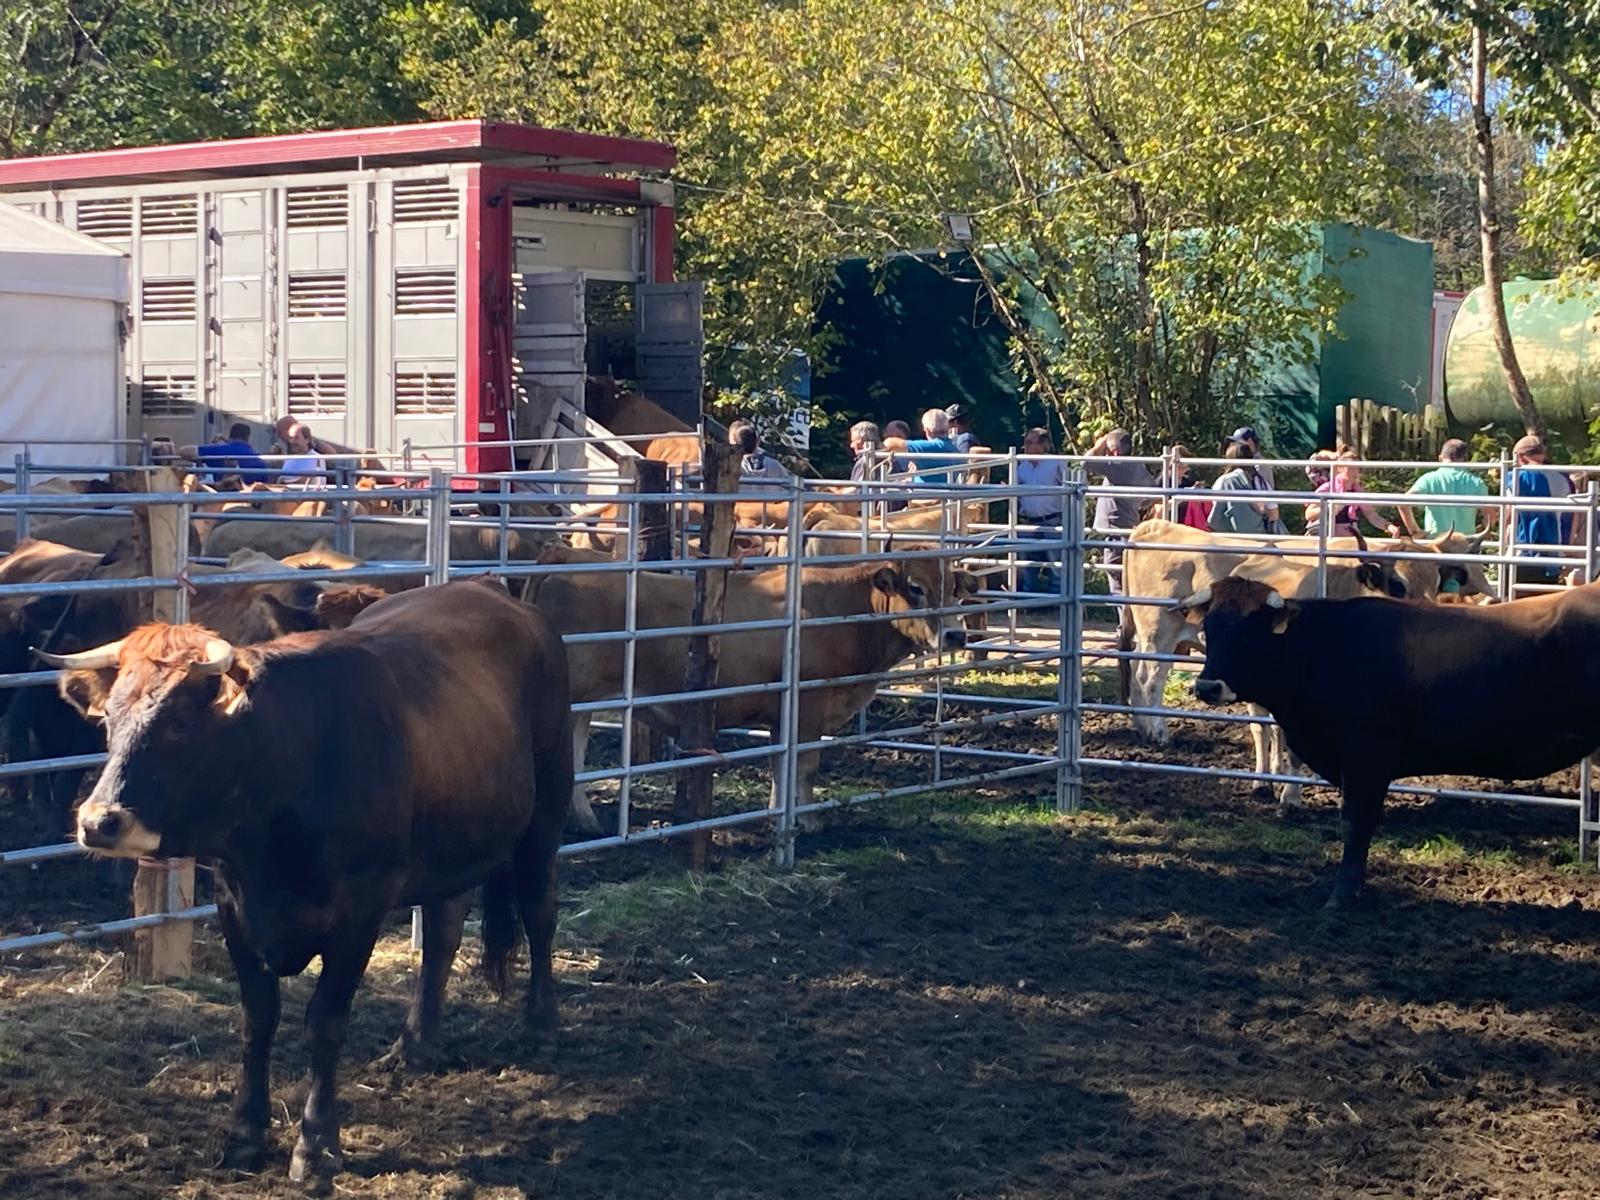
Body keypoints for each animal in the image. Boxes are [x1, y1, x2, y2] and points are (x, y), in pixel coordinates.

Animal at [45, 579, 576, 1190]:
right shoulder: (233, 905)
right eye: (108, 720)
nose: (98, 822)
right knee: (443, 933)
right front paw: (245, 1135)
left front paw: (316, 1146)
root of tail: (495, 593)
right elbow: (258, 1019)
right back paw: (416, 1044)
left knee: (539, 912)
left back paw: (541, 1026)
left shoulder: (360, 910)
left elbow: (325, 1021)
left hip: (545, 814)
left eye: (179, 722)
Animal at [1184, 582, 1600, 908]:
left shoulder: (1365, 759)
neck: (1324, 648)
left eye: (1250, 632)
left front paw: (1341, 896)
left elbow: (1355, 825)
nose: (1207, 686)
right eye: (1209, 627)